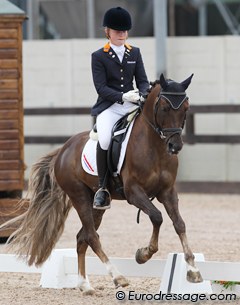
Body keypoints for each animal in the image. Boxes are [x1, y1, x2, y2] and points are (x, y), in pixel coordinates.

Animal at [3, 73, 202, 292]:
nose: (175, 146)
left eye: (186, 109)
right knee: (91, 236)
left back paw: (85, 285)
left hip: (96, 204)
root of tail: (63, 150)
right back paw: (118, 277)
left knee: (82, 237)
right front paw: (144, 254)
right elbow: (157, 217)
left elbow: (179, 224)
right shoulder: (134, 192)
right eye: (165, 108)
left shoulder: (167, 192)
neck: (155, 147)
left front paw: (193, 270)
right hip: (79, 196)